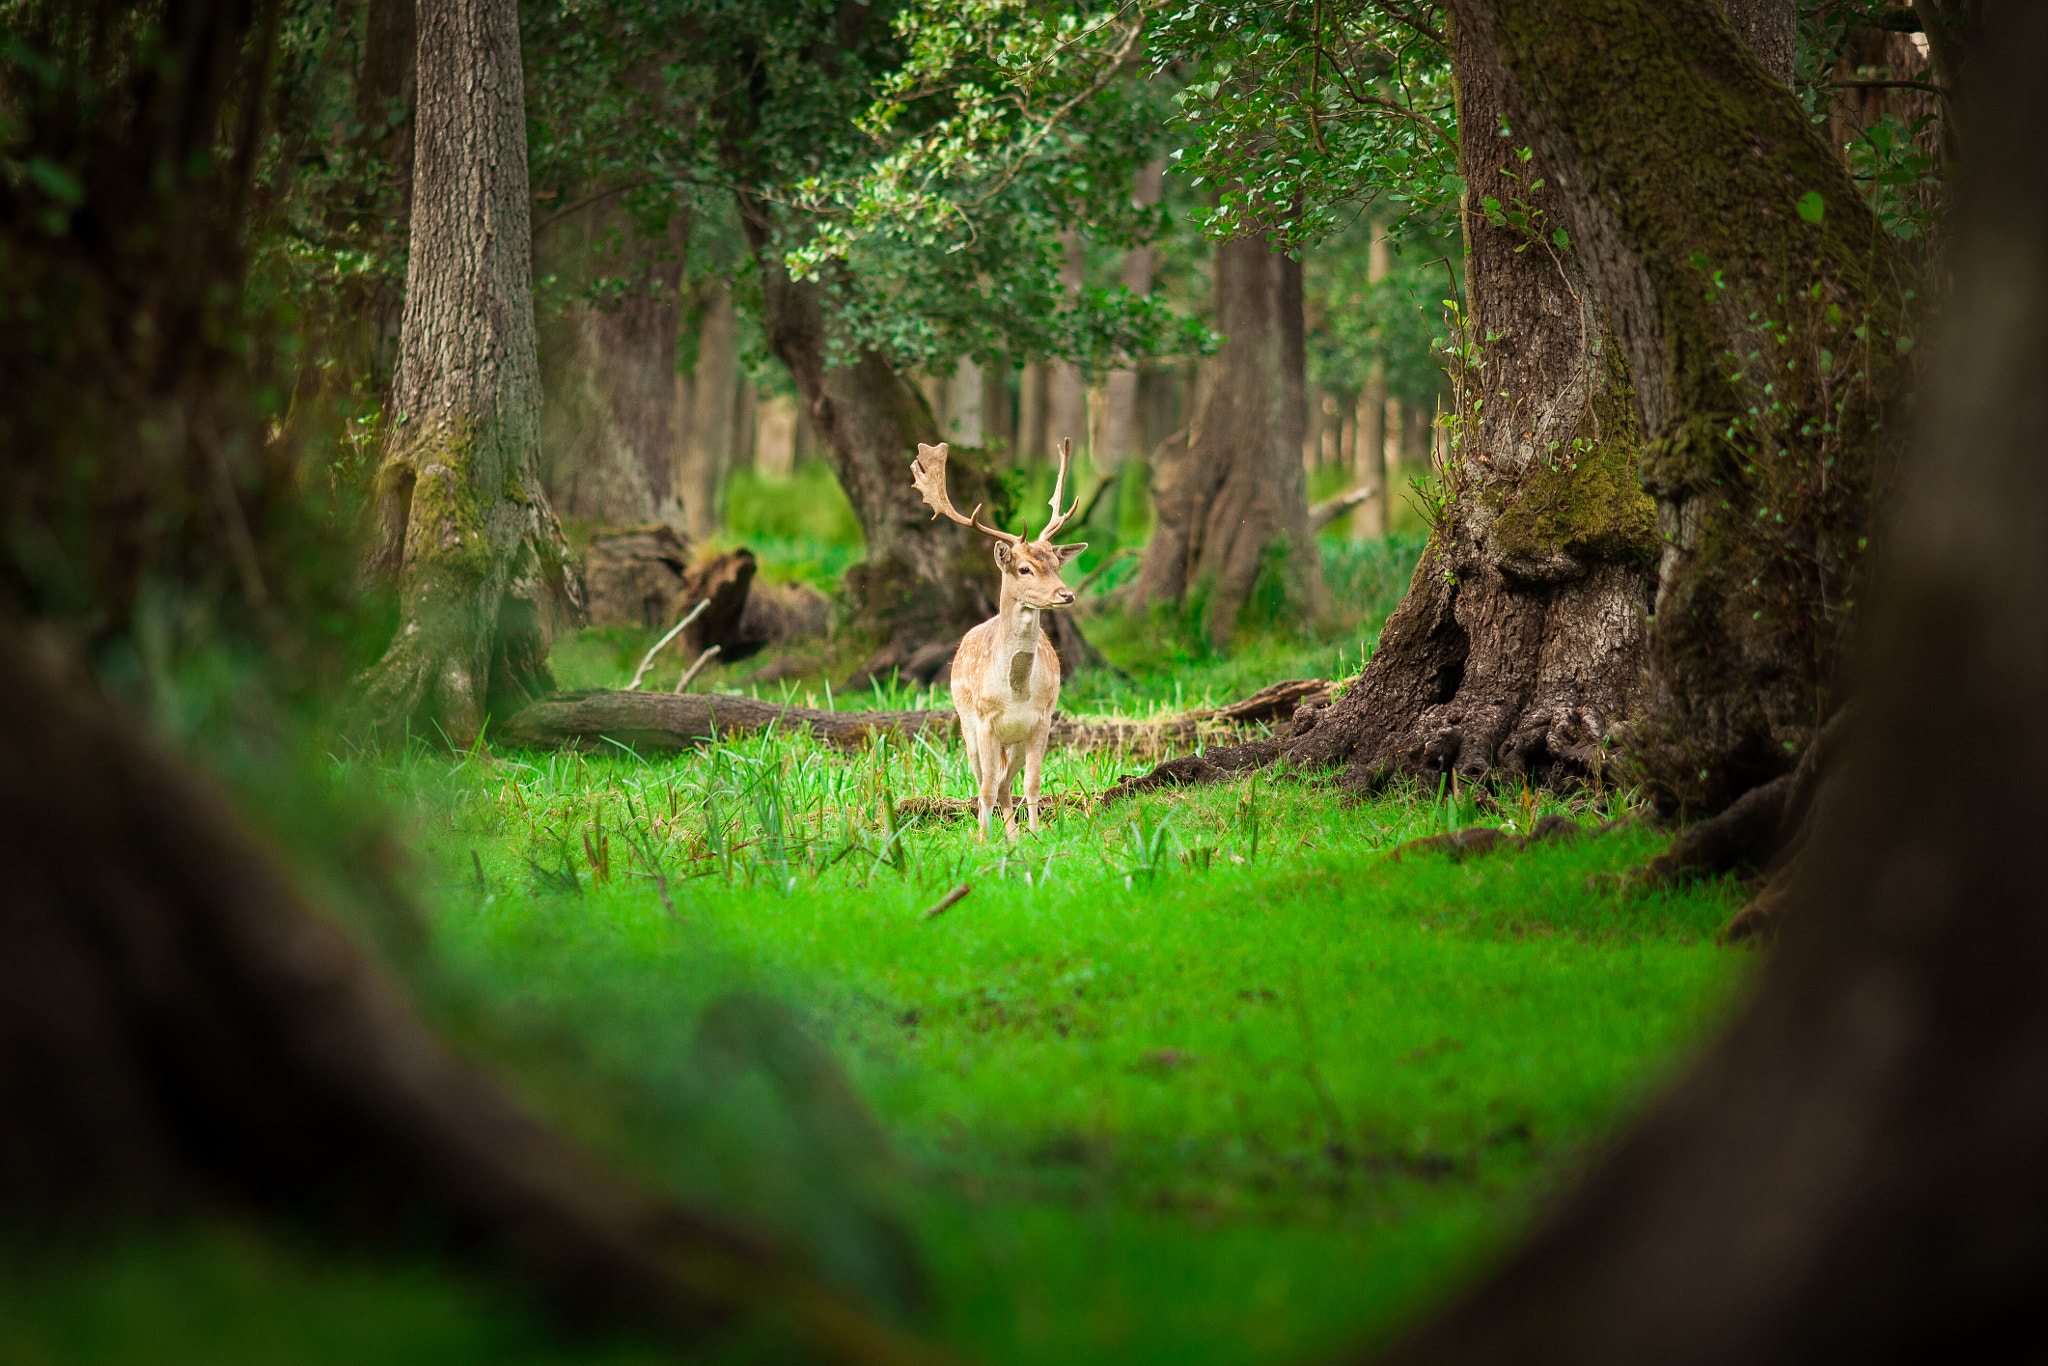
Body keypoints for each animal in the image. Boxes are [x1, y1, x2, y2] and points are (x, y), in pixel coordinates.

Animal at [910, 437, 1087, 840]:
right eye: (1024, 569)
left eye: (1057, 564)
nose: (1065, 594)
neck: (1016, 691)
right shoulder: (984, 723)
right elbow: (986, 786)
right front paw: (982, 839)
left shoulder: (1042, 721)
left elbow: (1031, 784)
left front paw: (1034, 835)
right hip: (966, 727)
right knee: (986, 781)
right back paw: (995, 833)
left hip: (1014, 740)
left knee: (1008, 781)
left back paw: (1013, 835)